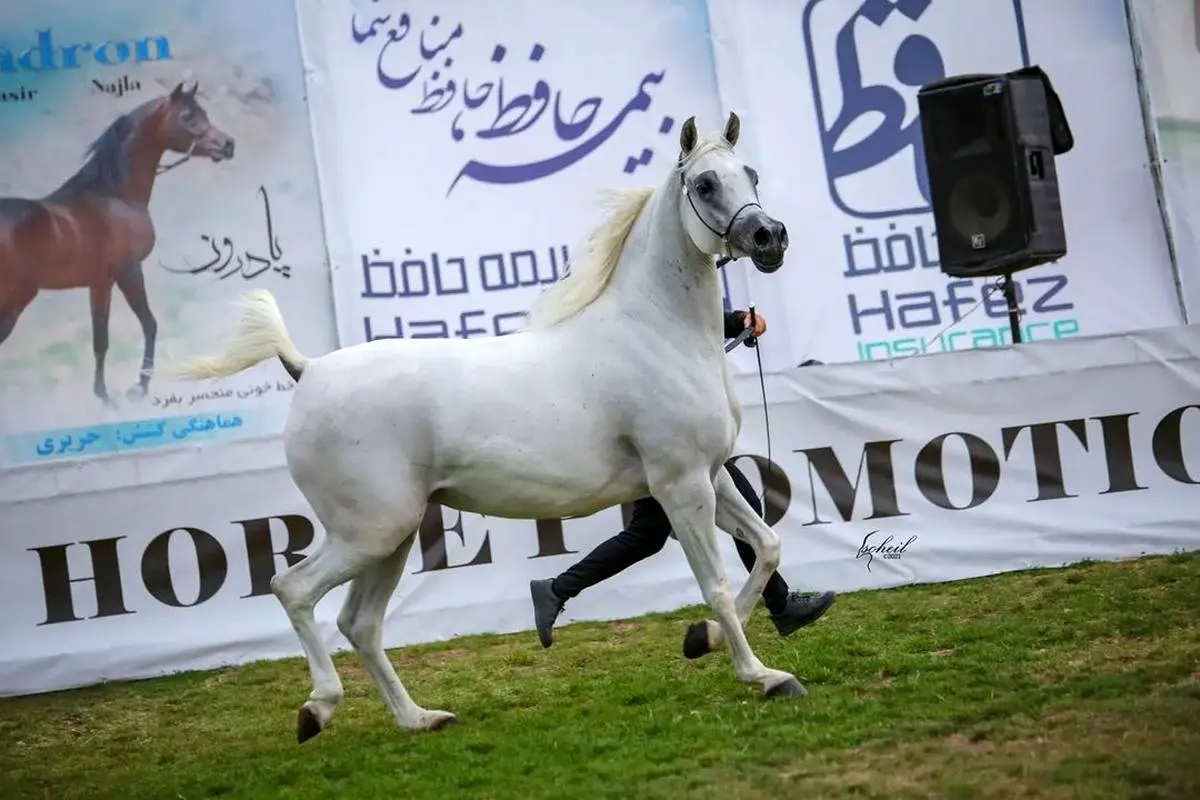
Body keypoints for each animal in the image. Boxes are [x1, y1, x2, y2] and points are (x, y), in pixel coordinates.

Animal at [174, 112, 796, 743]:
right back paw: (318, 709)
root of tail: (309, 369)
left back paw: (420, 719)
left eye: (750, 174)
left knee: (360, 622)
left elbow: (766, 547)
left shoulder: (709, 478)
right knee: (294, 590)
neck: (660, 334)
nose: (769, 238)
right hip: (368, 532)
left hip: (390, 537)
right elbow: (717, 585)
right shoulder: (680, 486)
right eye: (705, 185)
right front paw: (765, 676)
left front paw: (704, 639)